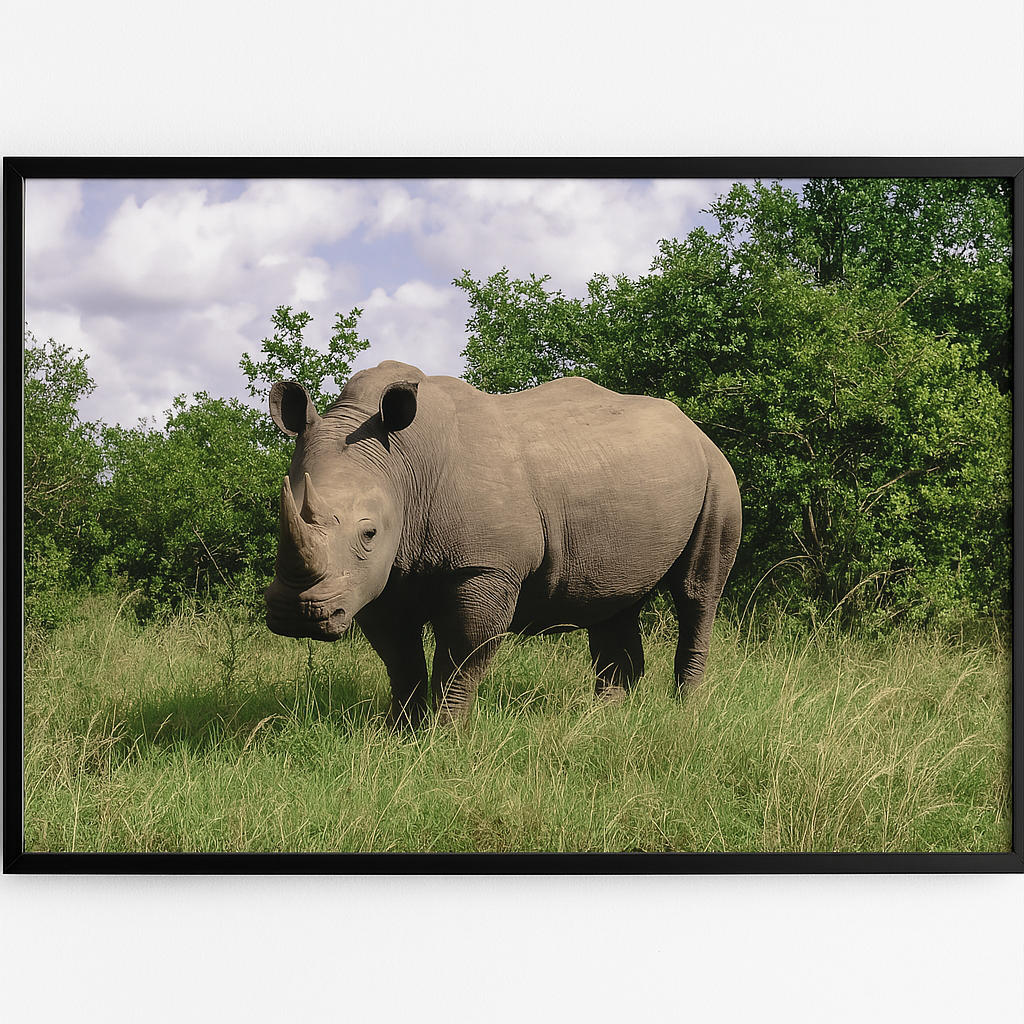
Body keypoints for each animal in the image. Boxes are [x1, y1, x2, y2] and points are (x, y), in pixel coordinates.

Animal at [265, 360, 741, 726]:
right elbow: (401, 662)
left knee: (697, 593)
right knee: (612, 600)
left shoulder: (485, 566)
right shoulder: (379, 577)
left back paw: (685, 711)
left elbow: (460, 660)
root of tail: (694, 428)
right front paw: (399, 733)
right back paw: (604, 720)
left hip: (717, 475)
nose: (297, 613)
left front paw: (445, 737)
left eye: (368, 533)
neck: (402, 466)